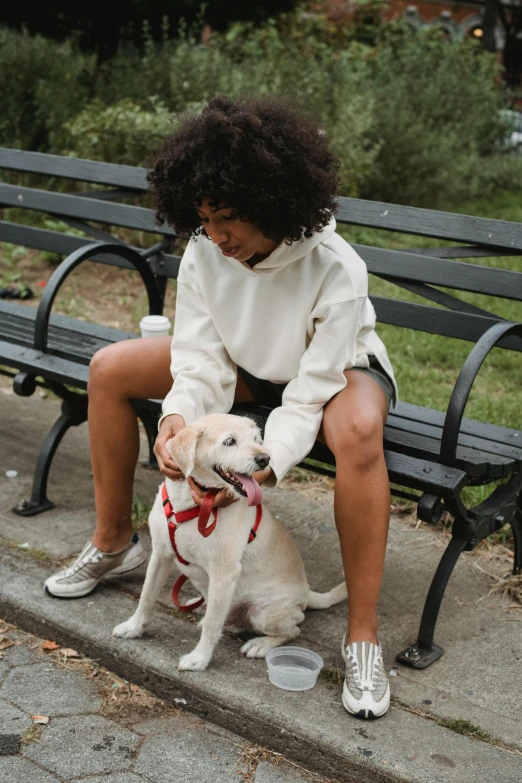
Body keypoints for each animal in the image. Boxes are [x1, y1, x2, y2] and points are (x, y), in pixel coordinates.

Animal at [112, 410, 346, 672]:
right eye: (229, 441)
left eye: (257, 439)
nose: (265, 459)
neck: (193, 505)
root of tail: (306, 592)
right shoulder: (160, 555)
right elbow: (146, 596)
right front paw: (134, 627)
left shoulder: (223, 575)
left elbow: (213, 625)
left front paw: (200, 658)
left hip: (263, 612)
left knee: (293, 628)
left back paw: (260, 644)